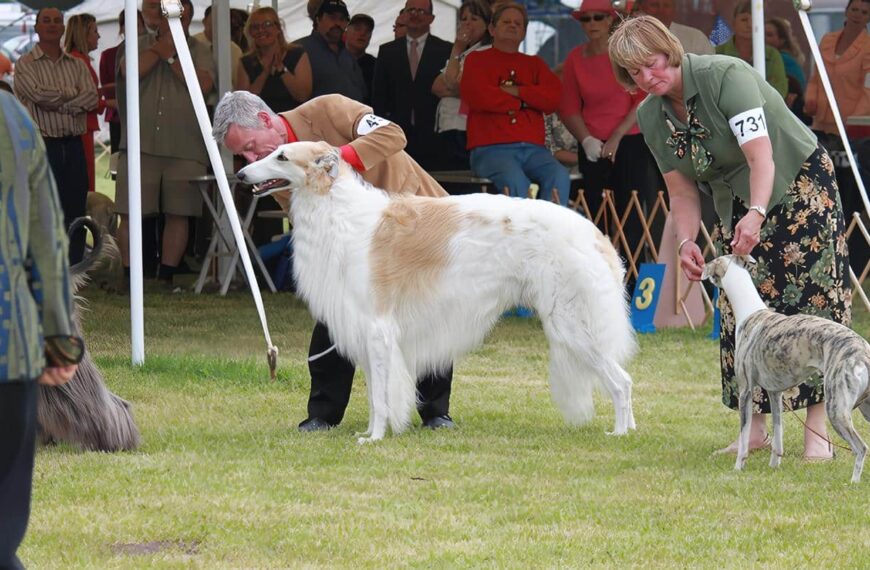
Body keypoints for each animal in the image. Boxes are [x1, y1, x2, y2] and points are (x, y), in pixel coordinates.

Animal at [238, 140, 640, 442]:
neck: (340, 210)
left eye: (282, 156)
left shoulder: (377, 328)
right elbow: (374, 394)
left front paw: (375, 438)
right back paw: (631, 428)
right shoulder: (364, 329)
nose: (241, 174)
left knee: (622, 382)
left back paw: (619, 433)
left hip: (571, 325)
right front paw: (369, 433)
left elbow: (381, 397)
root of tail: (596, 234)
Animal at [700, 255, 870, 482]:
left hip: (836, 408)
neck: (750, 311)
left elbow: (744, 436)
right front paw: (774, 466)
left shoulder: (746, 390)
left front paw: (738, 467)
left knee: (861, 447)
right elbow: (778, 433)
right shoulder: (775, 393)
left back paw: (853, 482)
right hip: (865, 407)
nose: (700, 270)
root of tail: (864, 353)